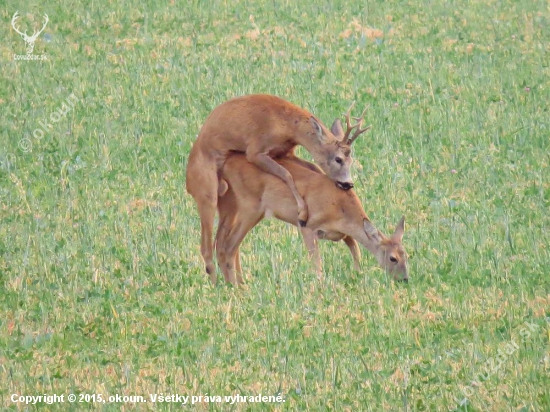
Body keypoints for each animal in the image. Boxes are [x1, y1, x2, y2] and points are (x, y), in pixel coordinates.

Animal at [187, 94, 370, 282]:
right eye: (338, 159)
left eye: (351, 159)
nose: (348, 184)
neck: (287, 125)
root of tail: (188, 181)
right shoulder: (255, 150)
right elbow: (287, 174)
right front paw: (302, 213)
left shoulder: (285, 153)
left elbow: (312, 167)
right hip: (207, 191)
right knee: (207, 248)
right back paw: (218, 285)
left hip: (229, 203)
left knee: (224, 244)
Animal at [216, 153, 410, 284]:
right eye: (393, 258)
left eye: (406, 255)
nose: (405, 279)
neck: (342, 208)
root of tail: (227, 164)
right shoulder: (308, 226)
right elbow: (316, 263)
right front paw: (319, 285)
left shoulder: (343, 234)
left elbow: (357, 253)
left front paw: (357, 275)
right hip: (249, 206)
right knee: (230, 244)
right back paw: (236, 285)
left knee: (232, 244)